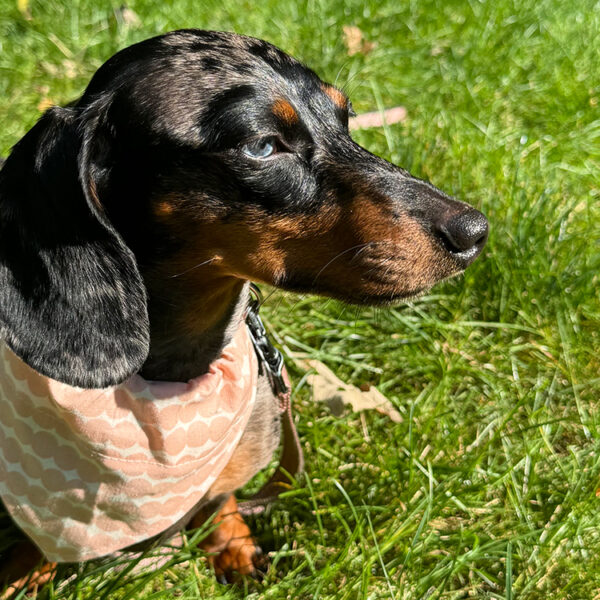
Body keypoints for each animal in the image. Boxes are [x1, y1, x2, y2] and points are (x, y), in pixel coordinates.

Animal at [0, 29, 488, 592]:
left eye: (345, 120)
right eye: (262, 145)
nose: (476, 231)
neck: (172, 380)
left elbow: (222, 496)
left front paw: (232, 542)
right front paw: (21, 572)